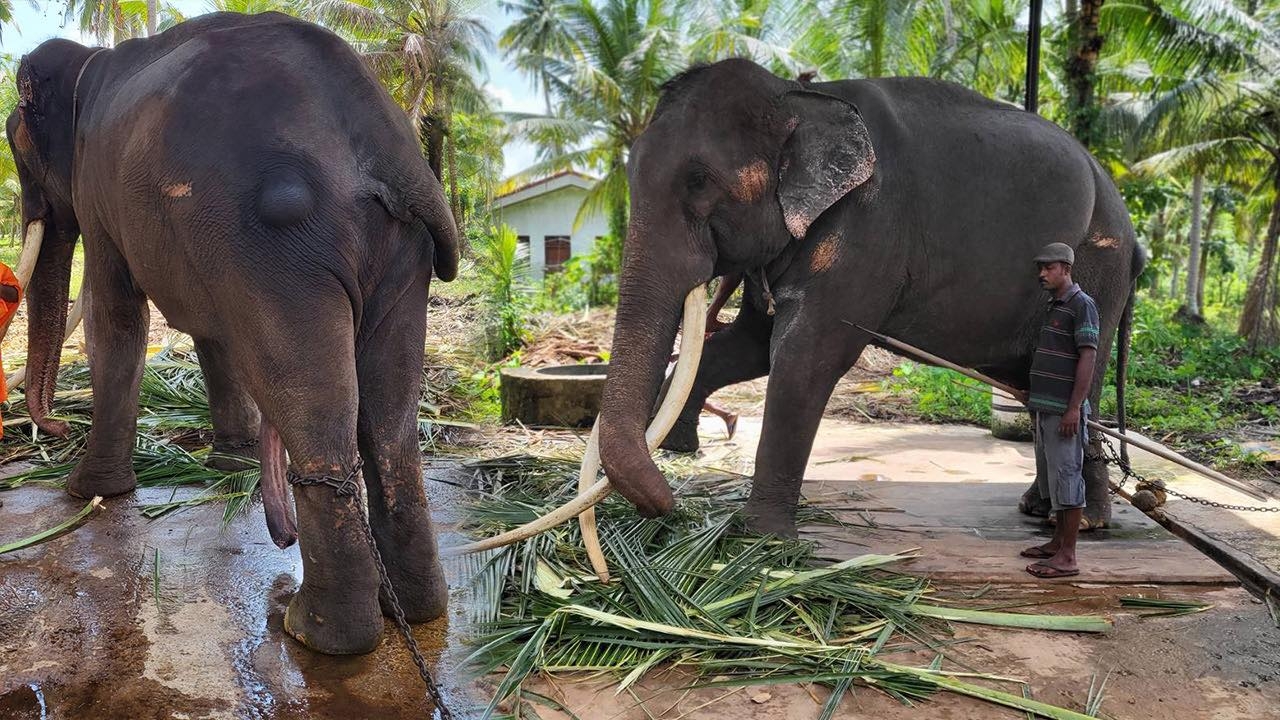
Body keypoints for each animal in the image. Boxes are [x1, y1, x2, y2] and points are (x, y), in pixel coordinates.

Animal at [8, 11, 460, 653]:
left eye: (17, 148)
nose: (56, 426)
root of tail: (385, 145)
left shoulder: (98, 192)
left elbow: (115, 316)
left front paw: (86, 493)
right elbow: (210, 330)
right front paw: (233, 463)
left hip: (276, 248)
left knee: (310, 401)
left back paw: (314, 632)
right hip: (400, 249)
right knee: (390, 417)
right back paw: (415, 612)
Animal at [588, 60, 1141, 532]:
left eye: (699, 182)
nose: (670, 504)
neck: (798, 96)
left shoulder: (868, 229)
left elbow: (804, 357)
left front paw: (762, 541)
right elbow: (748, 346)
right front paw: (680, 446)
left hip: (1097, 269)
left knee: (1074, 384)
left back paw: (1085, 522)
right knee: (1031, 386)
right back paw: (1039, 510)